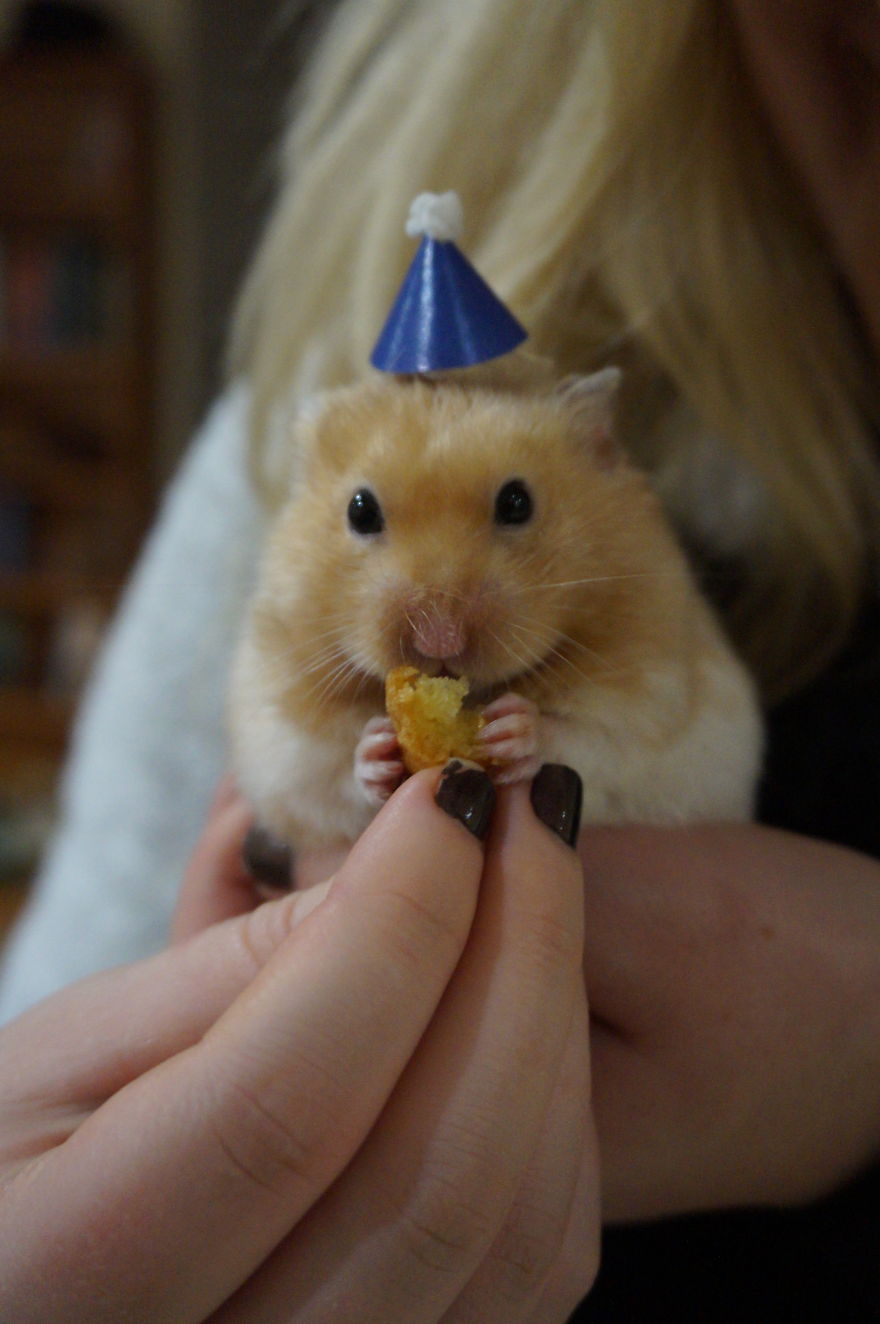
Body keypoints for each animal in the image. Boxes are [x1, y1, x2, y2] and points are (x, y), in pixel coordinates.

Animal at [229, 361, 763, 854]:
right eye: (359, 510)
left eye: (517, 502)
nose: (439, 639)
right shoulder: (281, 744)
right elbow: (328, 776)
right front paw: (377, 749)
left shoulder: (659, 713)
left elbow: (592, 739)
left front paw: (515, 728)